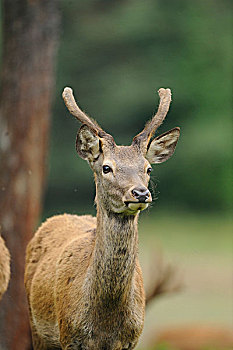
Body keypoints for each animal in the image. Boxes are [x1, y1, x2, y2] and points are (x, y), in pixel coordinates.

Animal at [24, 86, 180, 348]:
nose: (141, 193)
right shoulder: (69, 336)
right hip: (36, 328)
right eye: (107, 167)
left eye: (148, 169)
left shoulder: (132, 339)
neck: (105, 323)